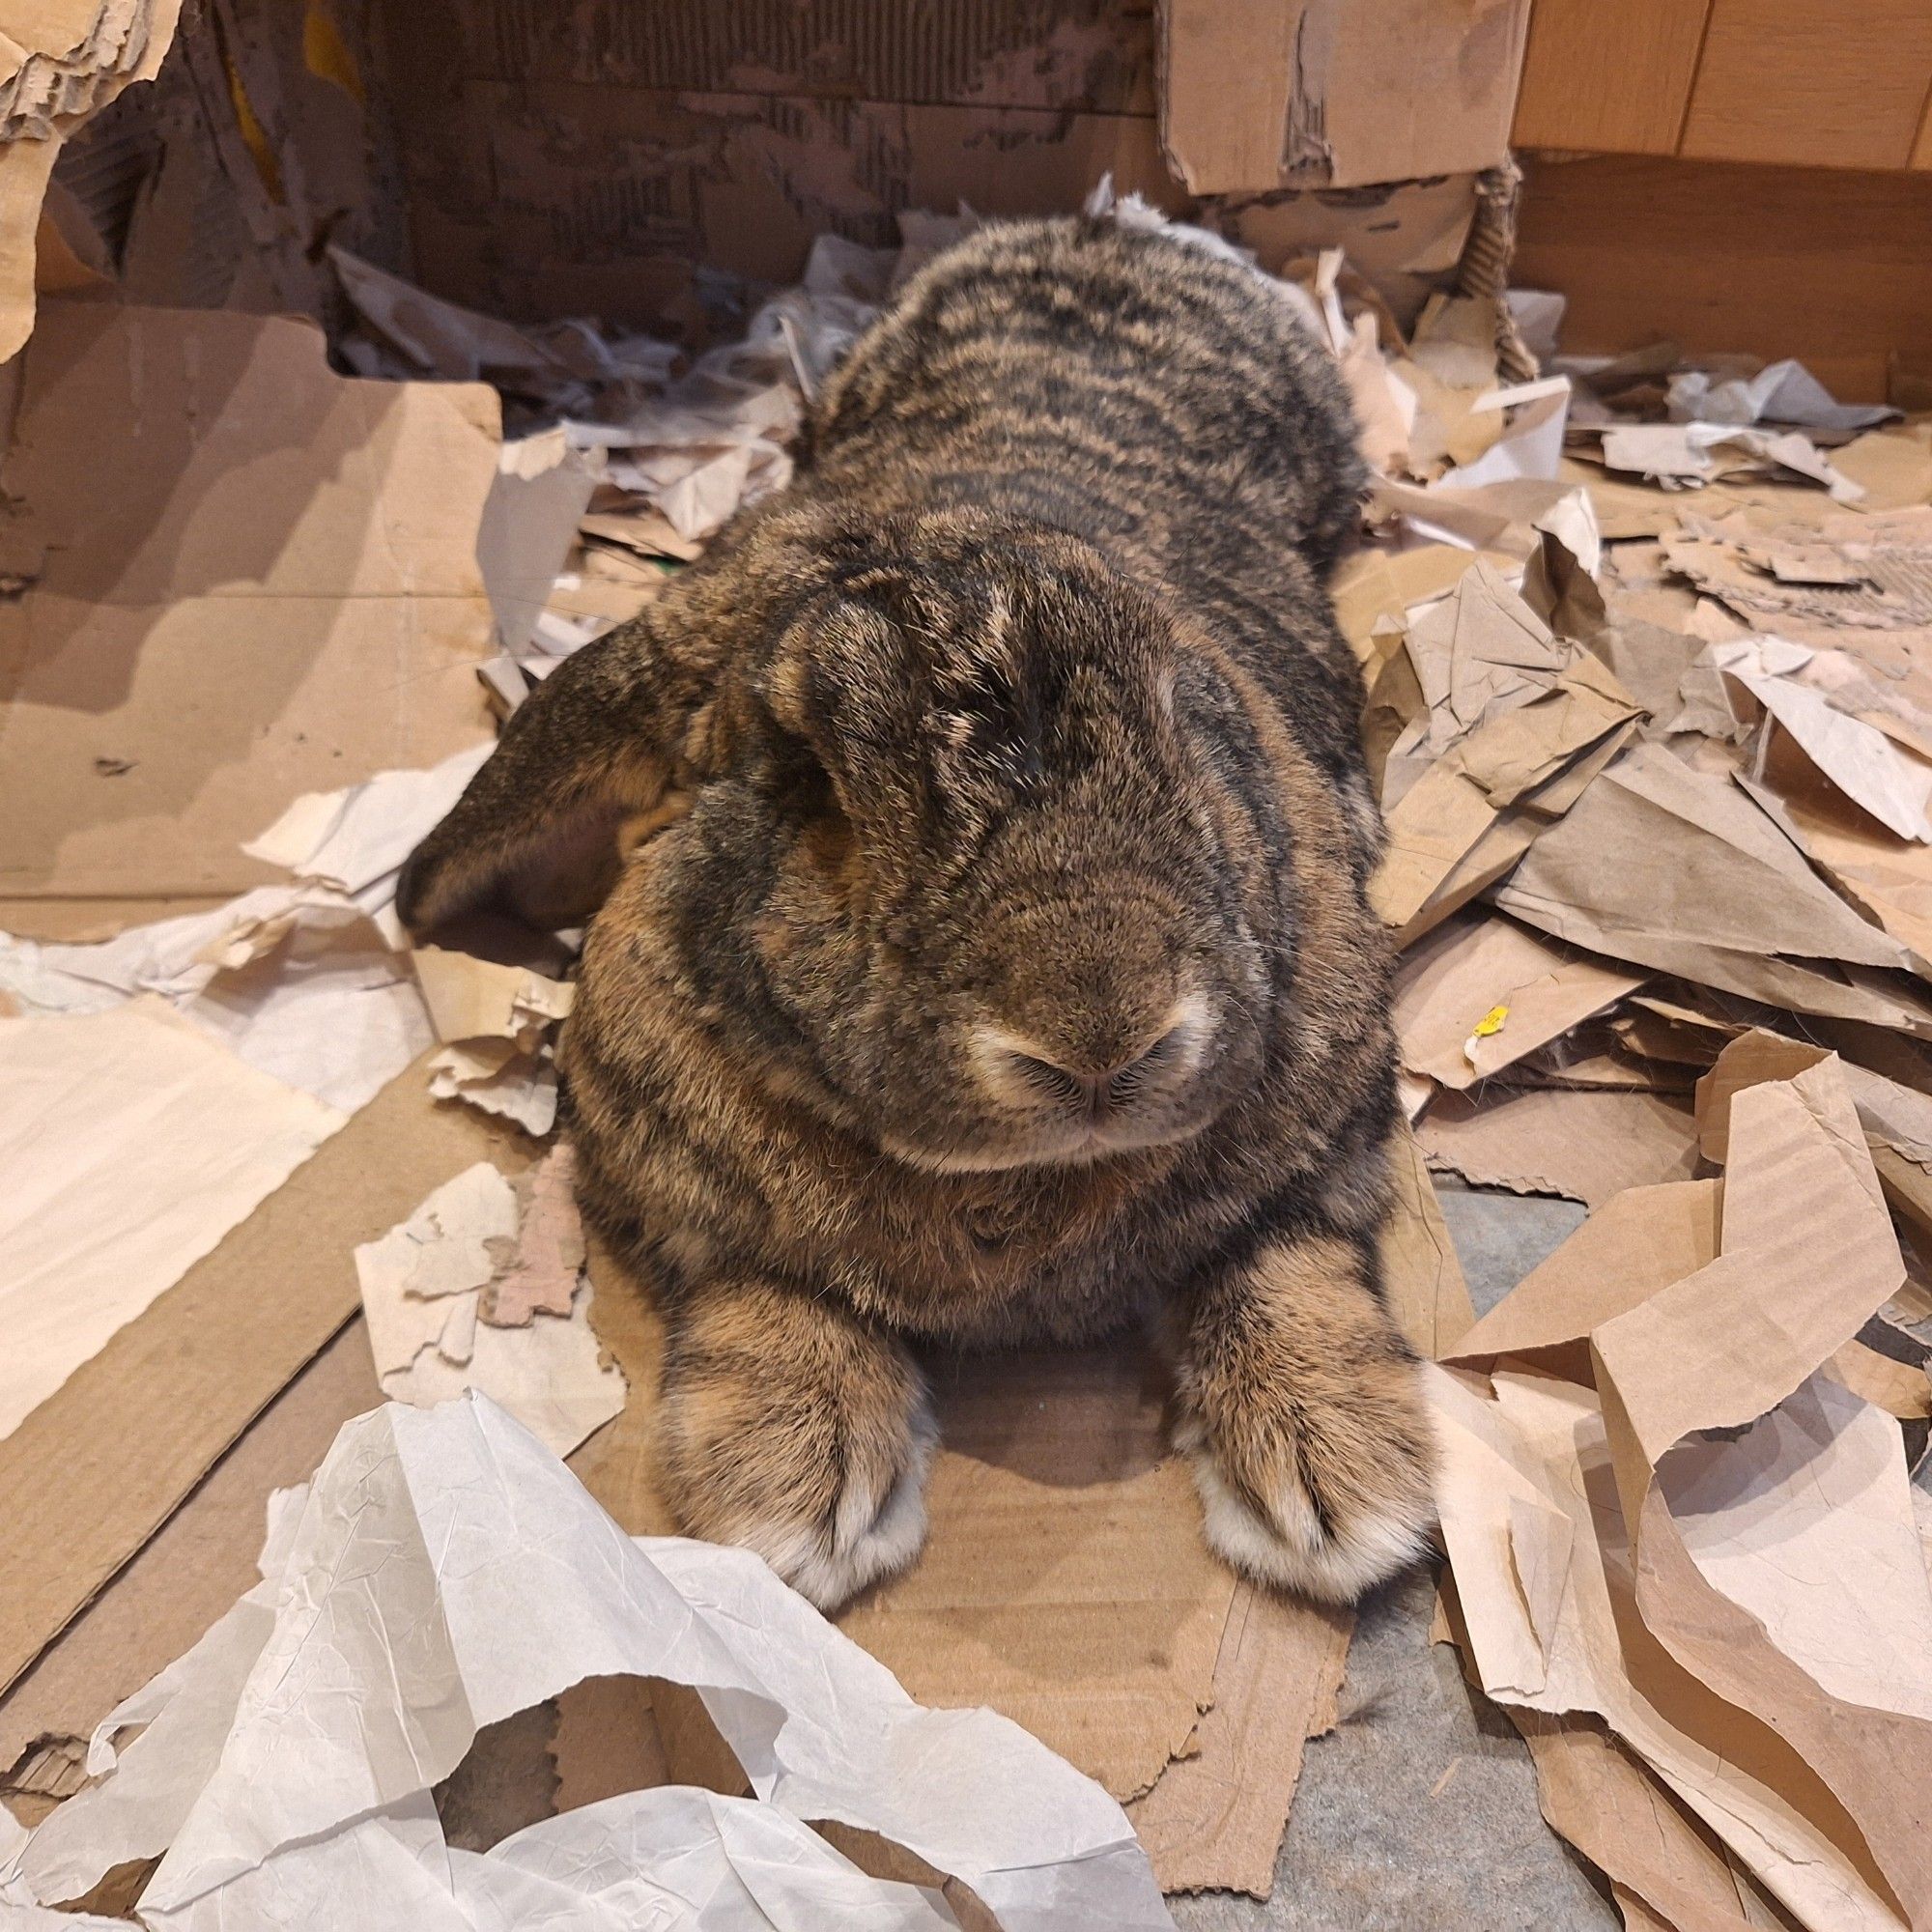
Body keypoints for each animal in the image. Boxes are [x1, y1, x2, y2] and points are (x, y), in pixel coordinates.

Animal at [400, 212, 1437, 1607]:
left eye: (1187, 704)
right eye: (811, 780)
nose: (1099, 1039)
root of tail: (1113, 228)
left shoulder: (1327, 1142)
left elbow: (1288, 1257)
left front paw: (1340, 1477)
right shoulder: (670, 1196)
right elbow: (764, 1287)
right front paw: (793, 1491)